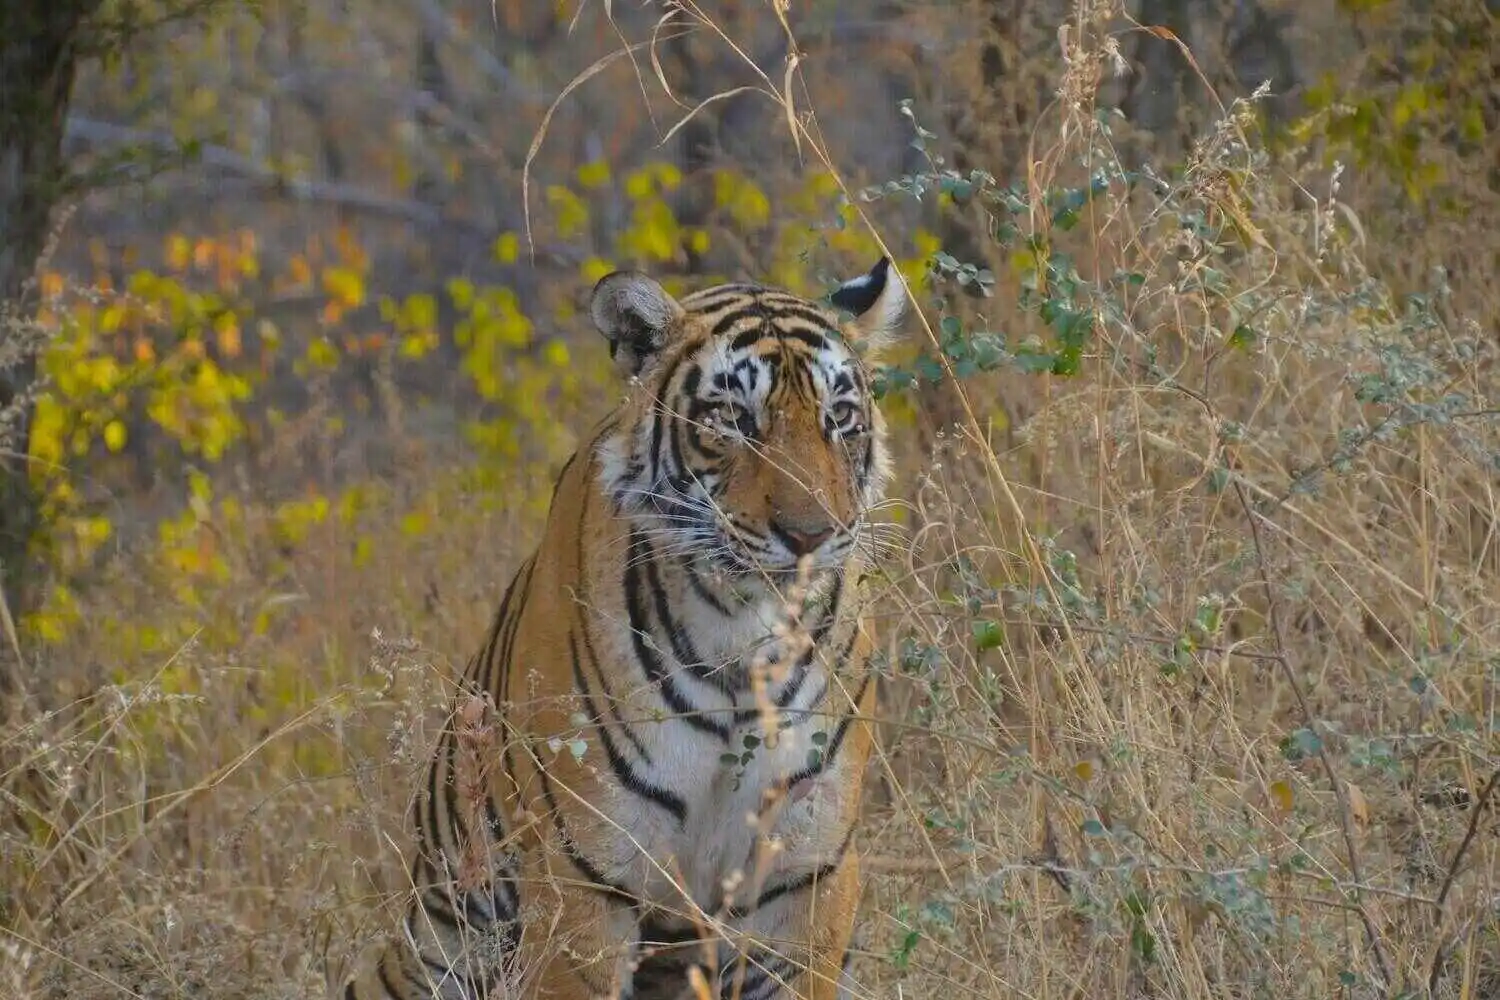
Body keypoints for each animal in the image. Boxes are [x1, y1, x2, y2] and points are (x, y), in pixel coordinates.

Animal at [340, 256, 900, 1000]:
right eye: (733, 419)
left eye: (840, 419)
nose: (810, 535)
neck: (743, 633)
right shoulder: (586, 879)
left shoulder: (807, 873)